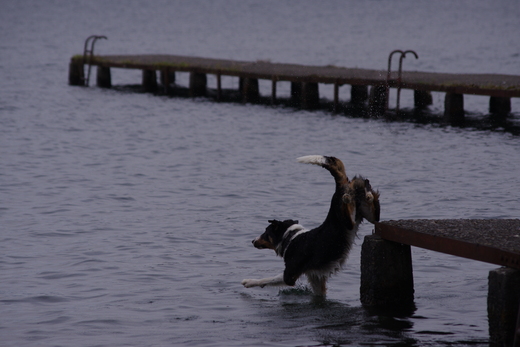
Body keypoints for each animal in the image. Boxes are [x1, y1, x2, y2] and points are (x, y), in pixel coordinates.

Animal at [242, 157, 380, 296]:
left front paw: (249, 282)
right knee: (370, 199)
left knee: (348, 205)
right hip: (369, 214)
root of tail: (340, 189)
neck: (289, 238)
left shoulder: (290, 275)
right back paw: (367, 193)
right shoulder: (316, 279)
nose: (252, 240)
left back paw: (348, 197)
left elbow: (268, 279)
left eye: (266, 232)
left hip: (347, 219)